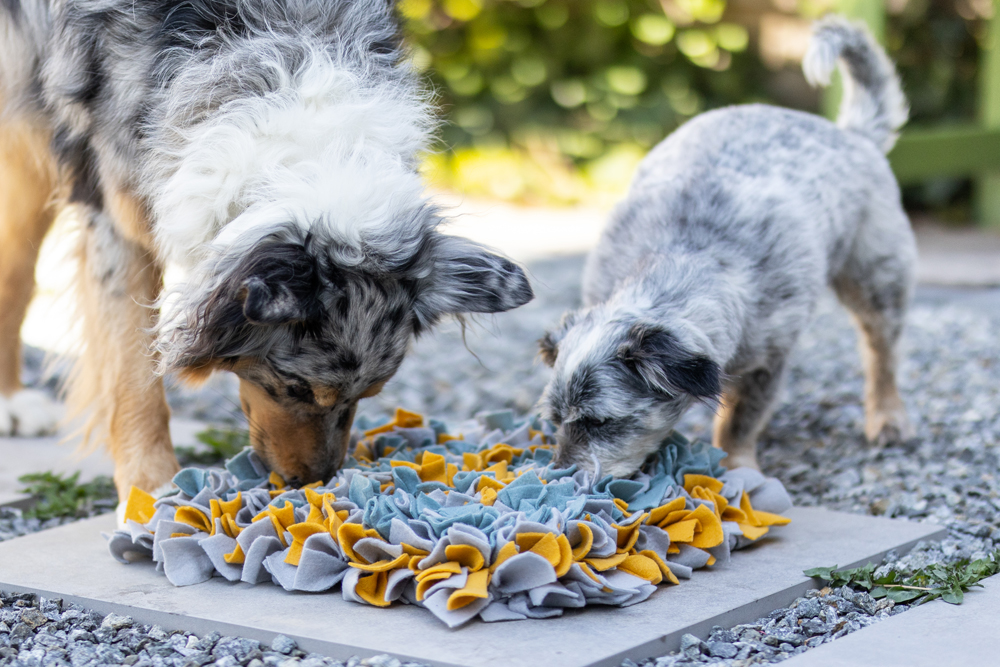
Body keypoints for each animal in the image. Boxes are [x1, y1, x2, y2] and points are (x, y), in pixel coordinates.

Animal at [0, 1, 532, 500]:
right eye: (296, 387)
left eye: (371, 392)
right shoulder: (114, 213)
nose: (311, 482)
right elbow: (134, 377)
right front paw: (150, 493)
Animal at [540, 18, 916, 478]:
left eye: (600, 422)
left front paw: (736, 466)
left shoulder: (768, 361)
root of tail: (851, 134)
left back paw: (888, 417)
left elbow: (742, 419)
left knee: (882, 354)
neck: (686, 254)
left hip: (878, 281)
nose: (557, 473)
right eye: (554, 419)